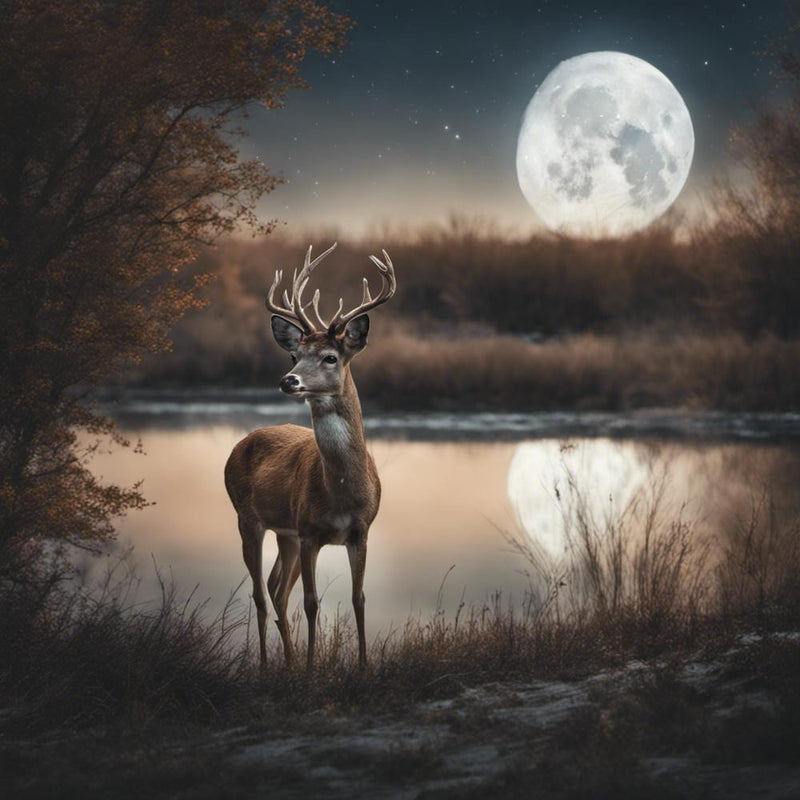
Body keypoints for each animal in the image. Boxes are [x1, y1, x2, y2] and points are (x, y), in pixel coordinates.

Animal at [224, 242, 395, 670]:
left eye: (331, 357)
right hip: (248, 518)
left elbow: (358, 598)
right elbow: (313, 603)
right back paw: (268, 665)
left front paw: (363, 667)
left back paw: (286, 663)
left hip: (284, 533)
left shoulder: (361, 531)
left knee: (275, 587)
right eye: (293, 356)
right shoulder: (310, 532)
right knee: (260, 592)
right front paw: (311, 668)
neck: (341, 492)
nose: (290, 380)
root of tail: (241, 442)